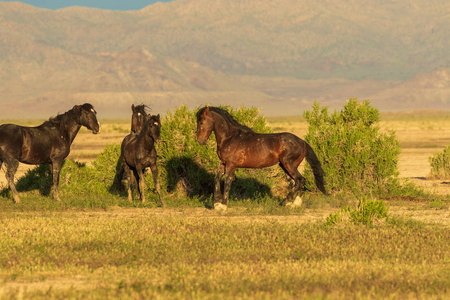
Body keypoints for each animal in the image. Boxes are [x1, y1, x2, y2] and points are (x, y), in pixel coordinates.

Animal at [196, 106, 326, 210]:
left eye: (201, 122)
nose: (200, 141)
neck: (229, 138)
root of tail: (302, 142)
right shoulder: (223, 163)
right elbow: (217, 179)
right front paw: (216, 204)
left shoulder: (231, 165)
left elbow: (227, 181)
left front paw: (223, 205)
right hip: (286, 166)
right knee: (298, 181)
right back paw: (294, 203)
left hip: (288, 164)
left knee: (300, 180)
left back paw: (289, 203)